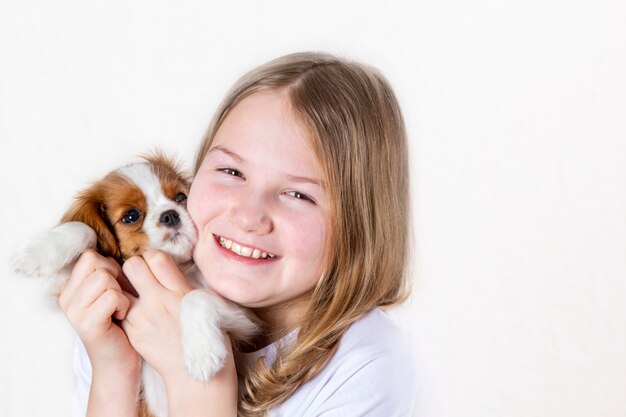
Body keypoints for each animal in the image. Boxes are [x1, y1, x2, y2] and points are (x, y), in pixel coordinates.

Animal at [12, 153, 256, 416]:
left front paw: (202, 353)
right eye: (131, 216)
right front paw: (38, 254)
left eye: (181, 198)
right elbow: (85, 230)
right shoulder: (65, 283)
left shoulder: (244, 320)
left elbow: (195, 297)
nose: (171, 214)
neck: (177, 266)